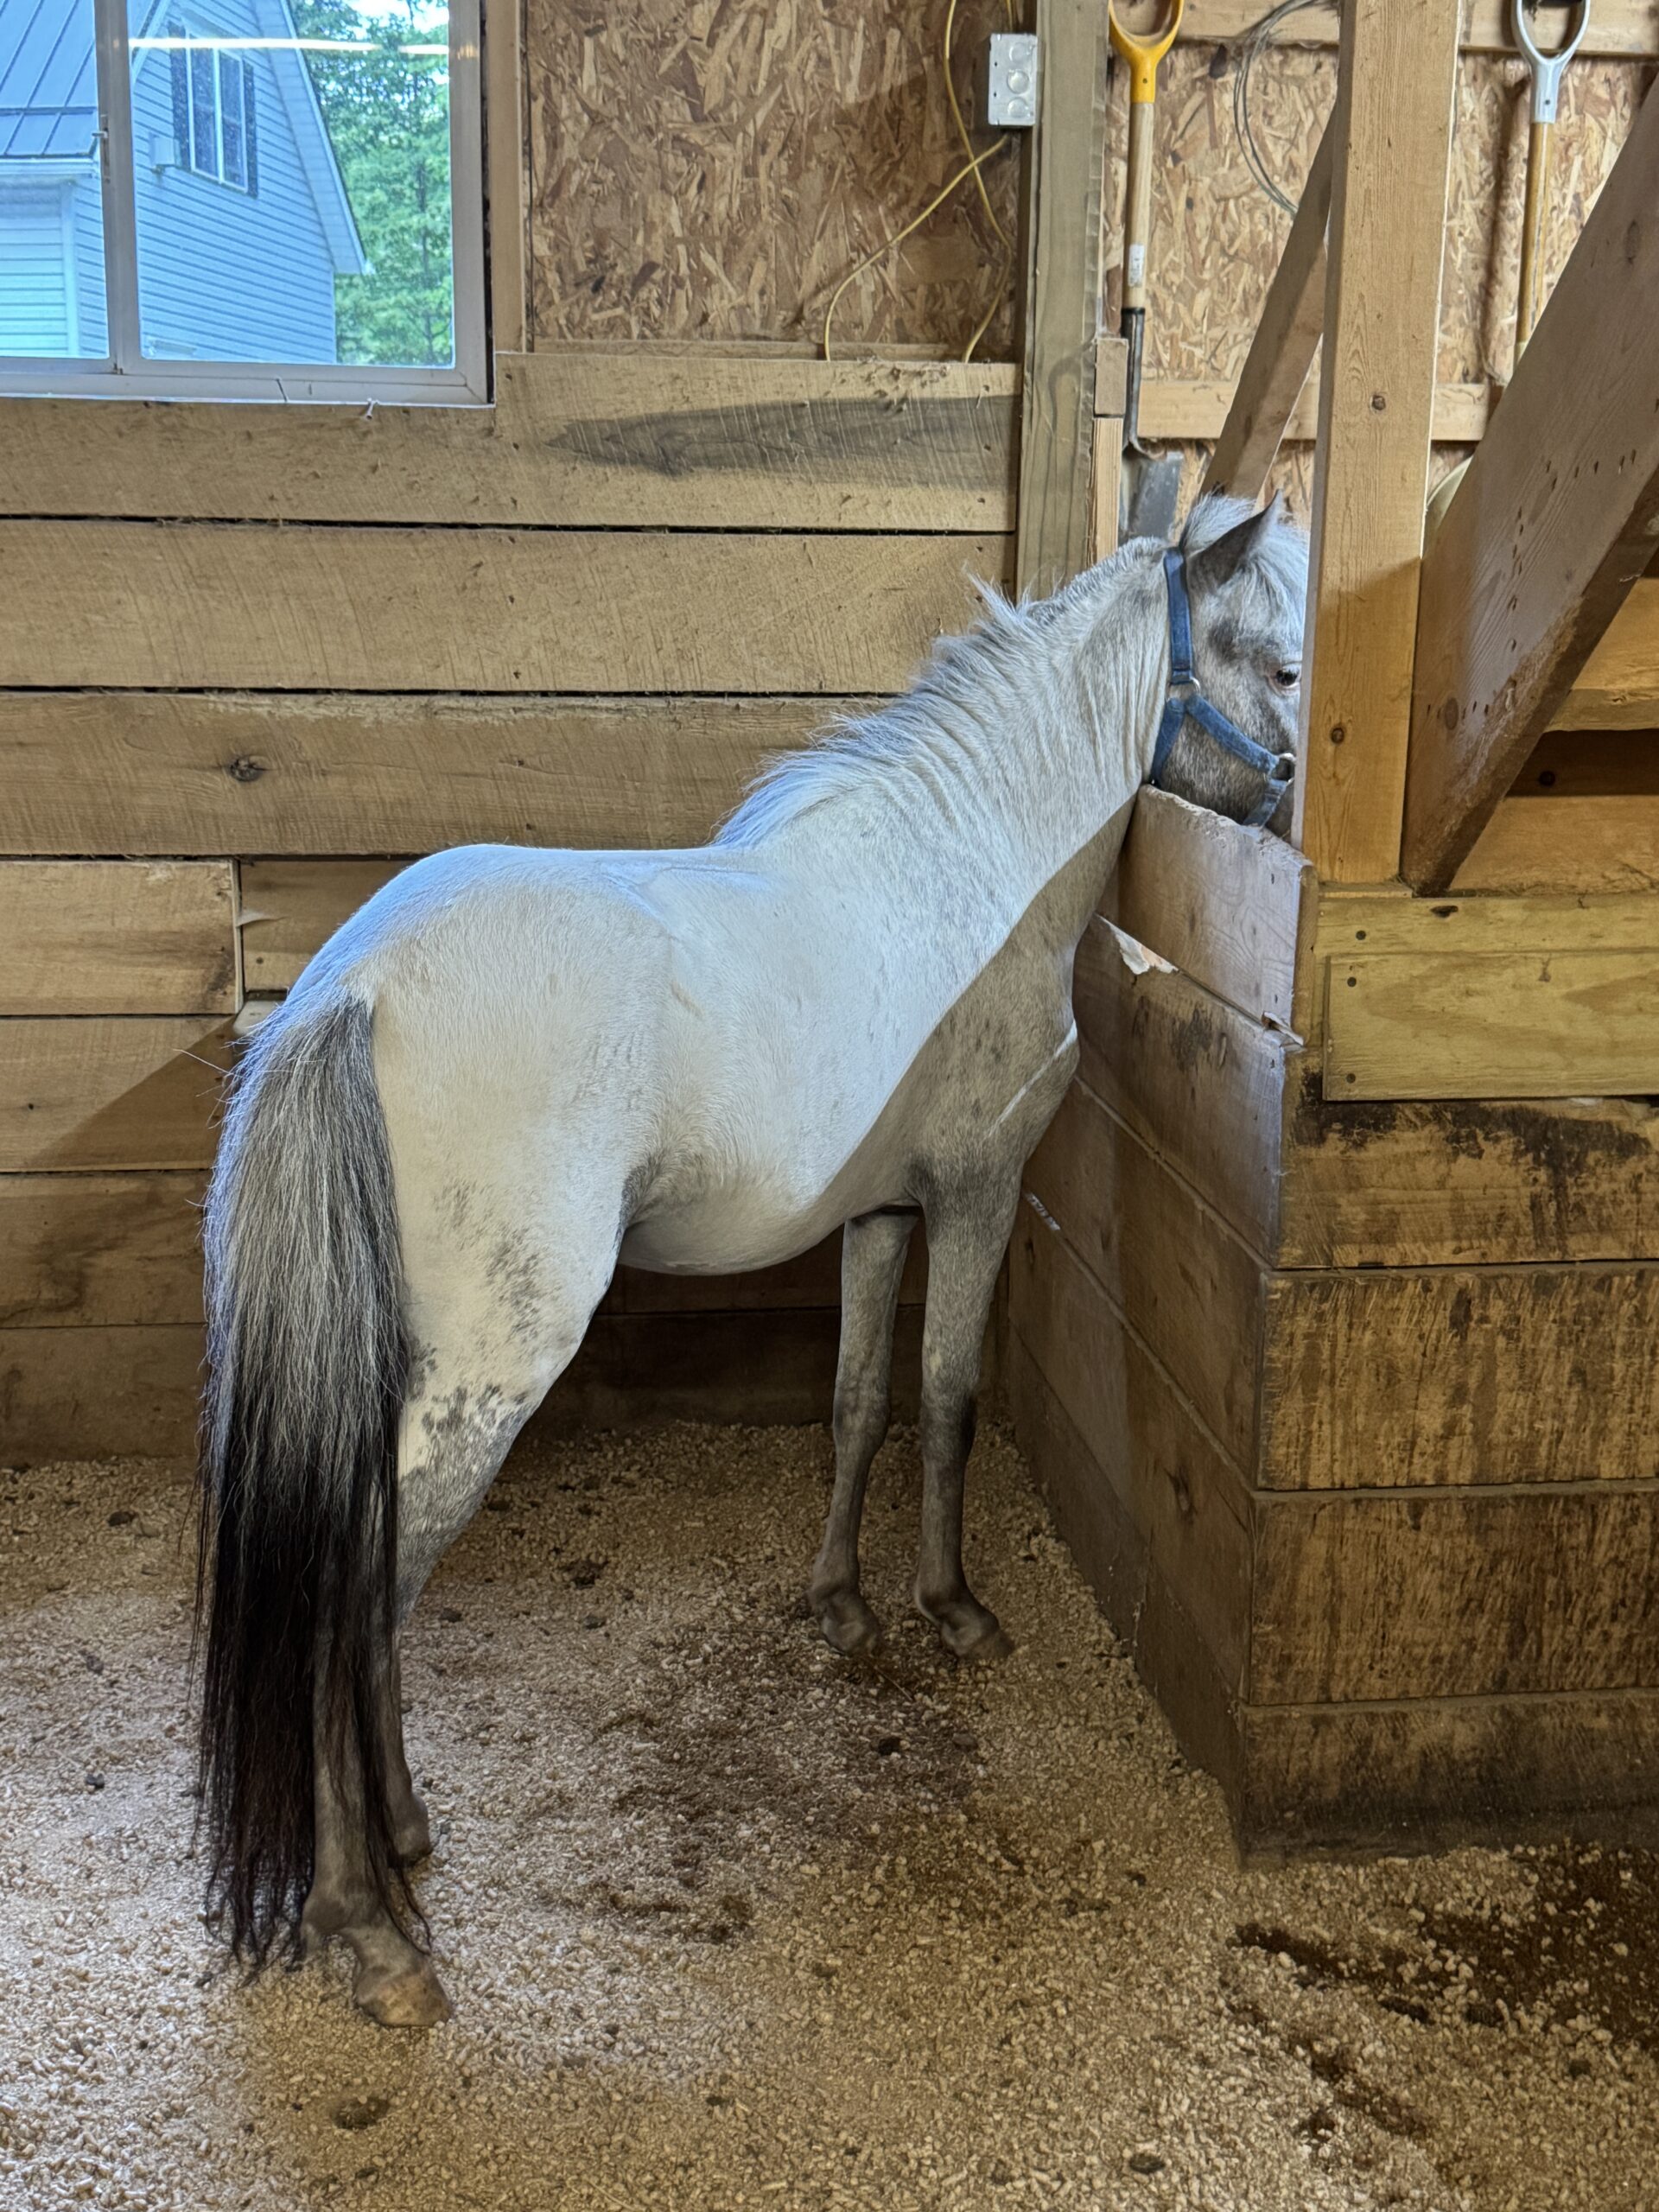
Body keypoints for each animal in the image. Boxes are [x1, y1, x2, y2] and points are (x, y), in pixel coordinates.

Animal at [195, 492, 1307, 2027]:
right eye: (1288, 665)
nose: (1304, 823)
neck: (973, 870)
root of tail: (348, 994)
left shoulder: (881, 1216)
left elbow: (858, 1401)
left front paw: (840, 1605)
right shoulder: (976, 1196)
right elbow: (949, 1398)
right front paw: (952, 1610)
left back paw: (406, 1834)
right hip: (482, 1381)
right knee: (350, 1593)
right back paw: (367, 1927)